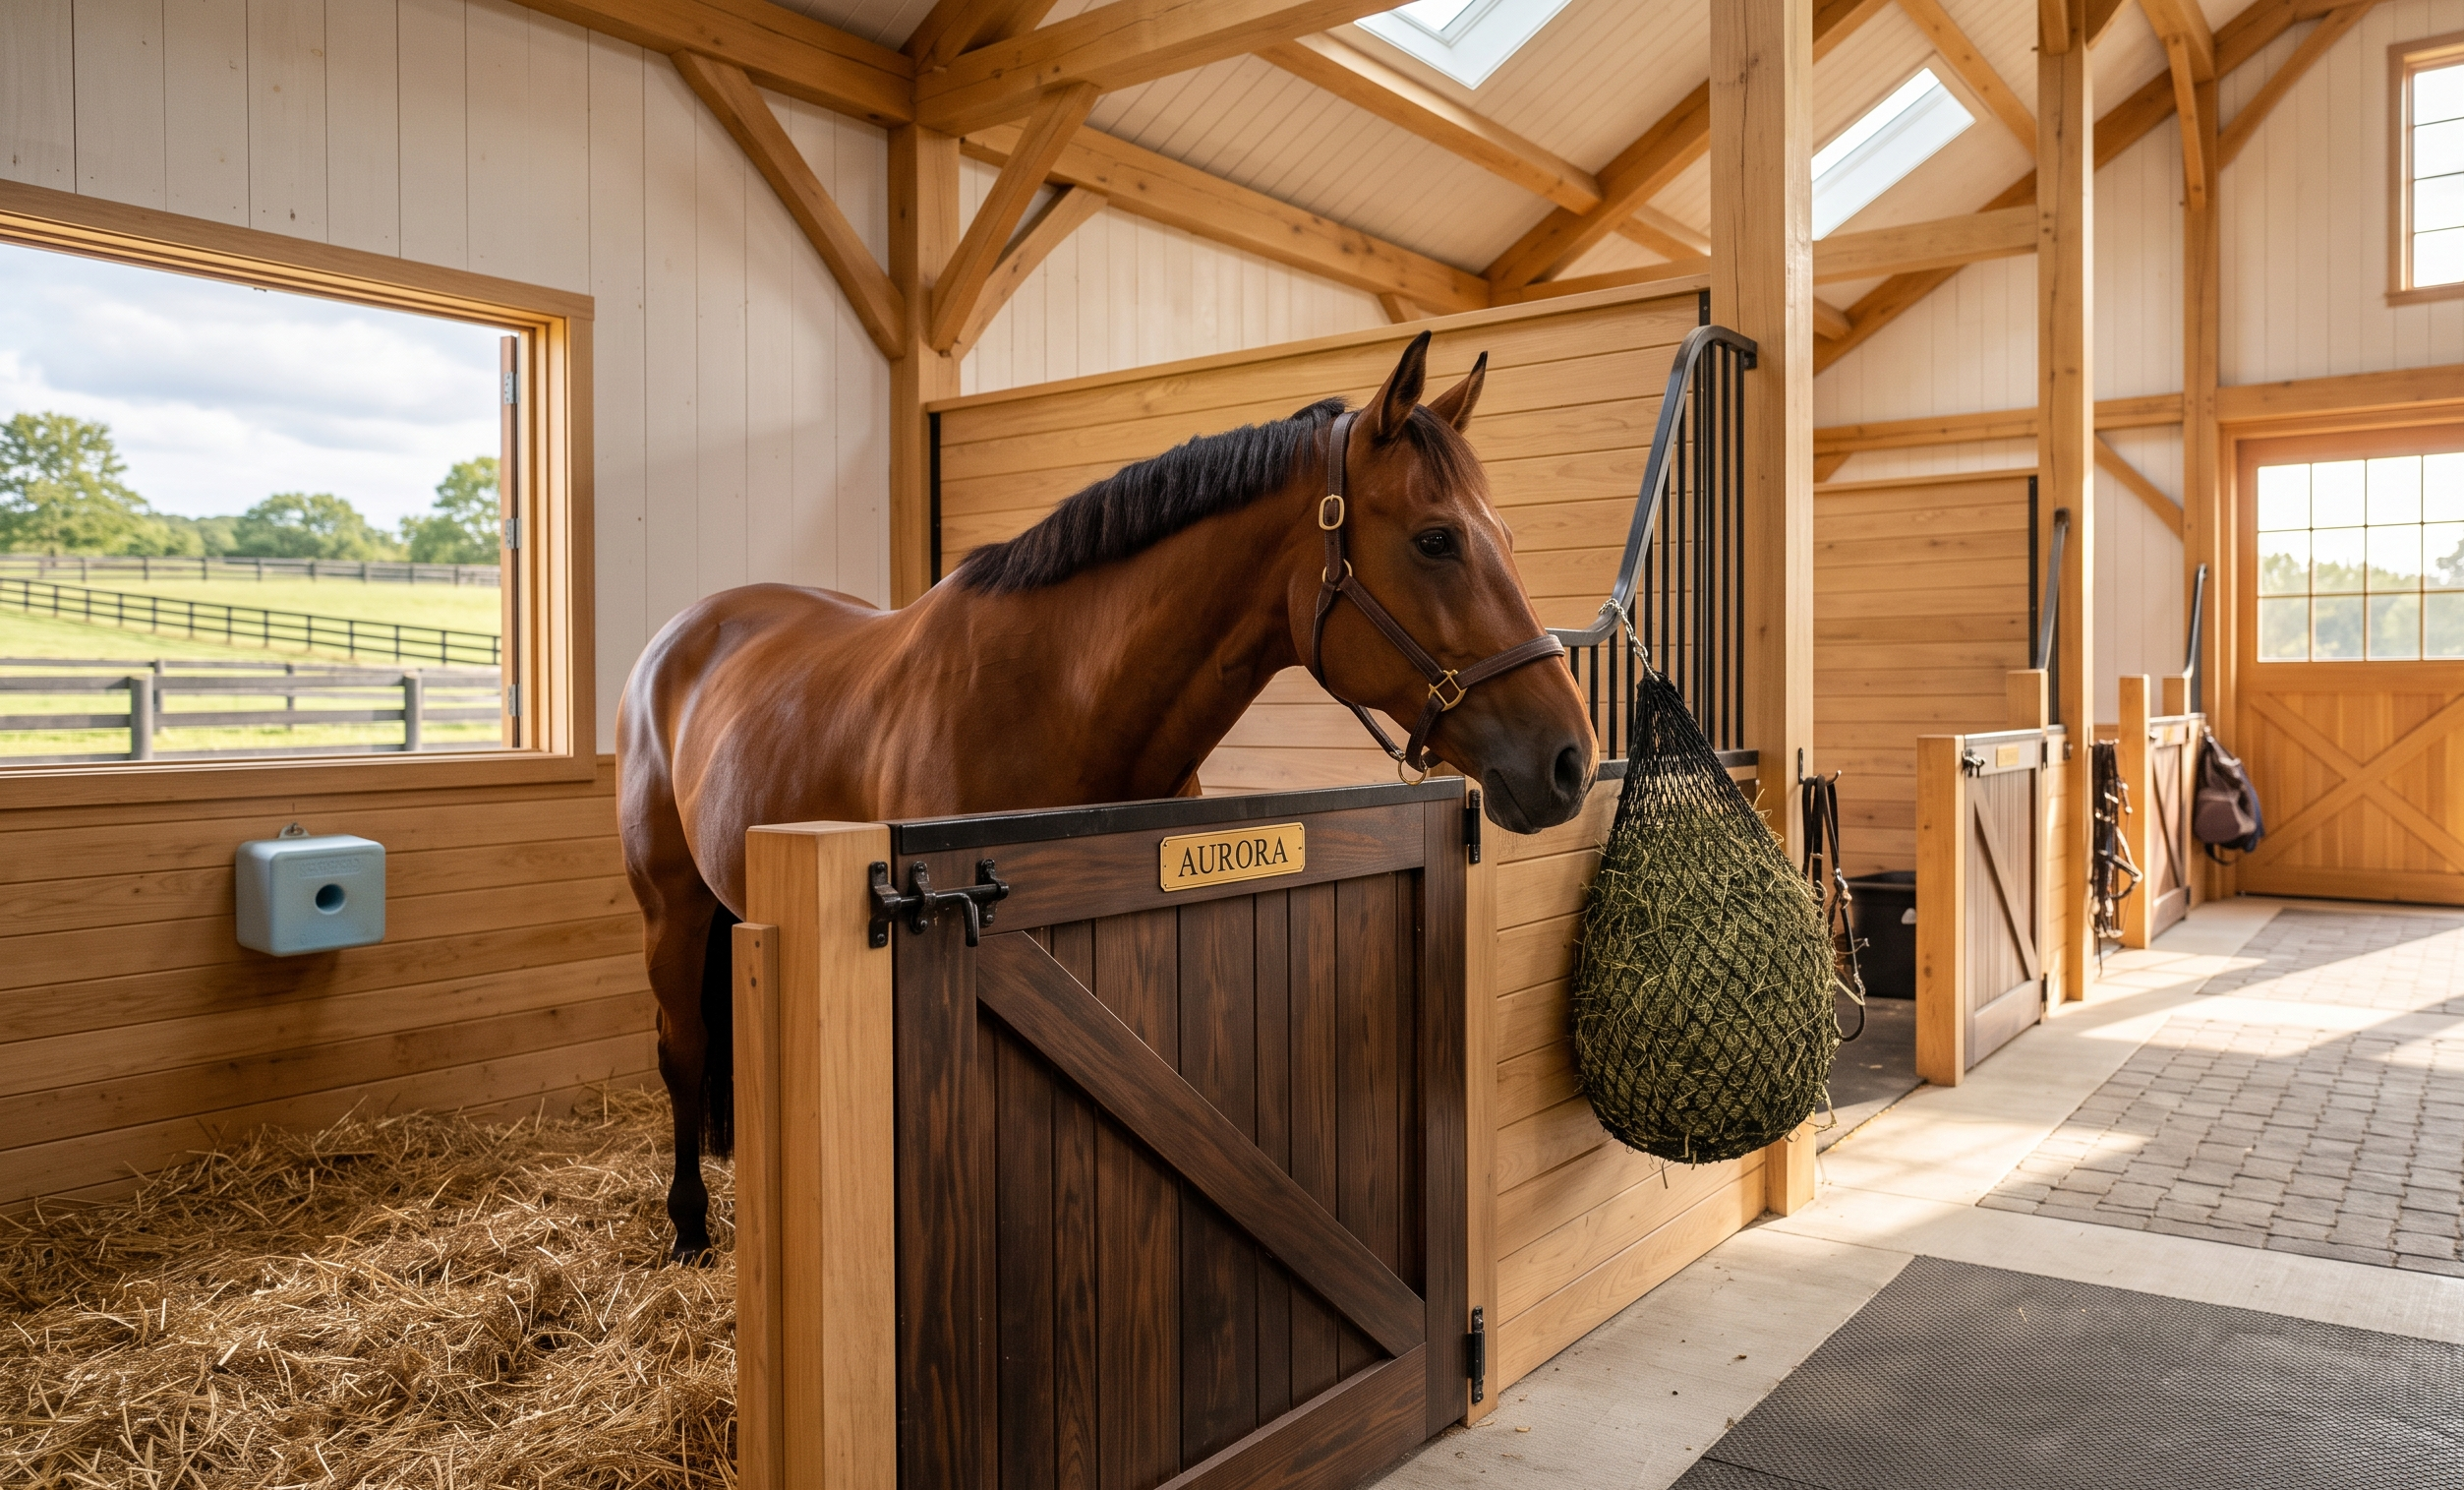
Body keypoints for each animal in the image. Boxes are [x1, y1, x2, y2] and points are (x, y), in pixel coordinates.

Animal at [618, 331, 1598, 1260]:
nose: (1571, 759)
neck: (1057, 696)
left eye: (1508, 538)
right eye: (1436, 539)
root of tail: (681, 635)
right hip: (671, 907)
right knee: (682, 1047)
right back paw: (690, 1225)